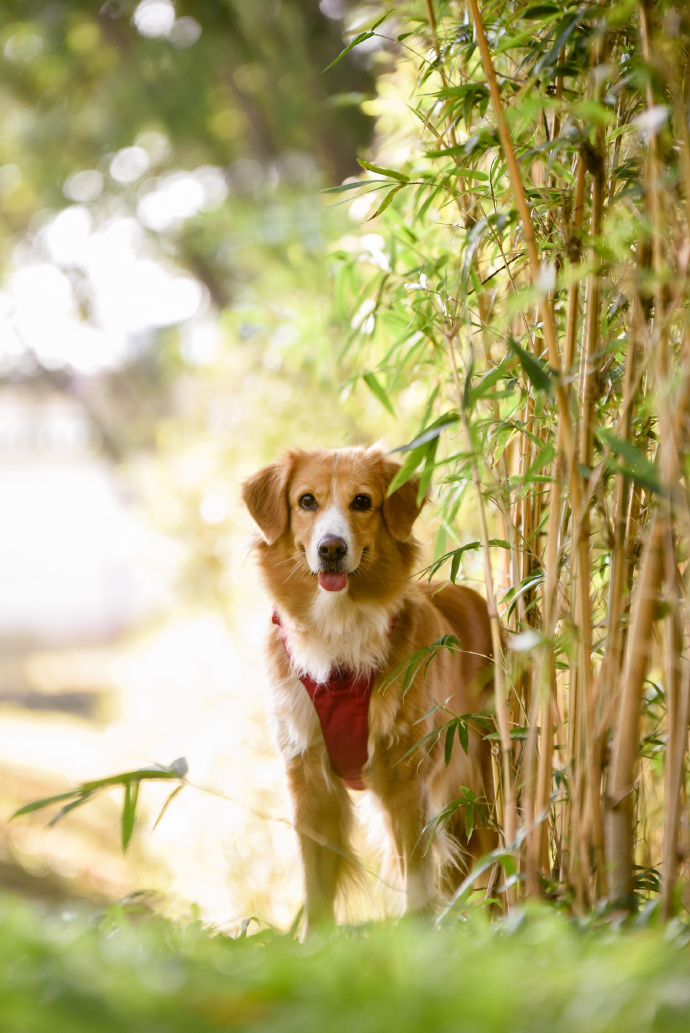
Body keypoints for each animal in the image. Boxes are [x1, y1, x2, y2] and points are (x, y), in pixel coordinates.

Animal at [242, 444, 495, 929]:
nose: (331, 548)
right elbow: (316, 887)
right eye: (306, 501)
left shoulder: (407, 780)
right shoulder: (309, 779)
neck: (338, 631)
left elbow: (417, 878)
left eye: (362, 501)